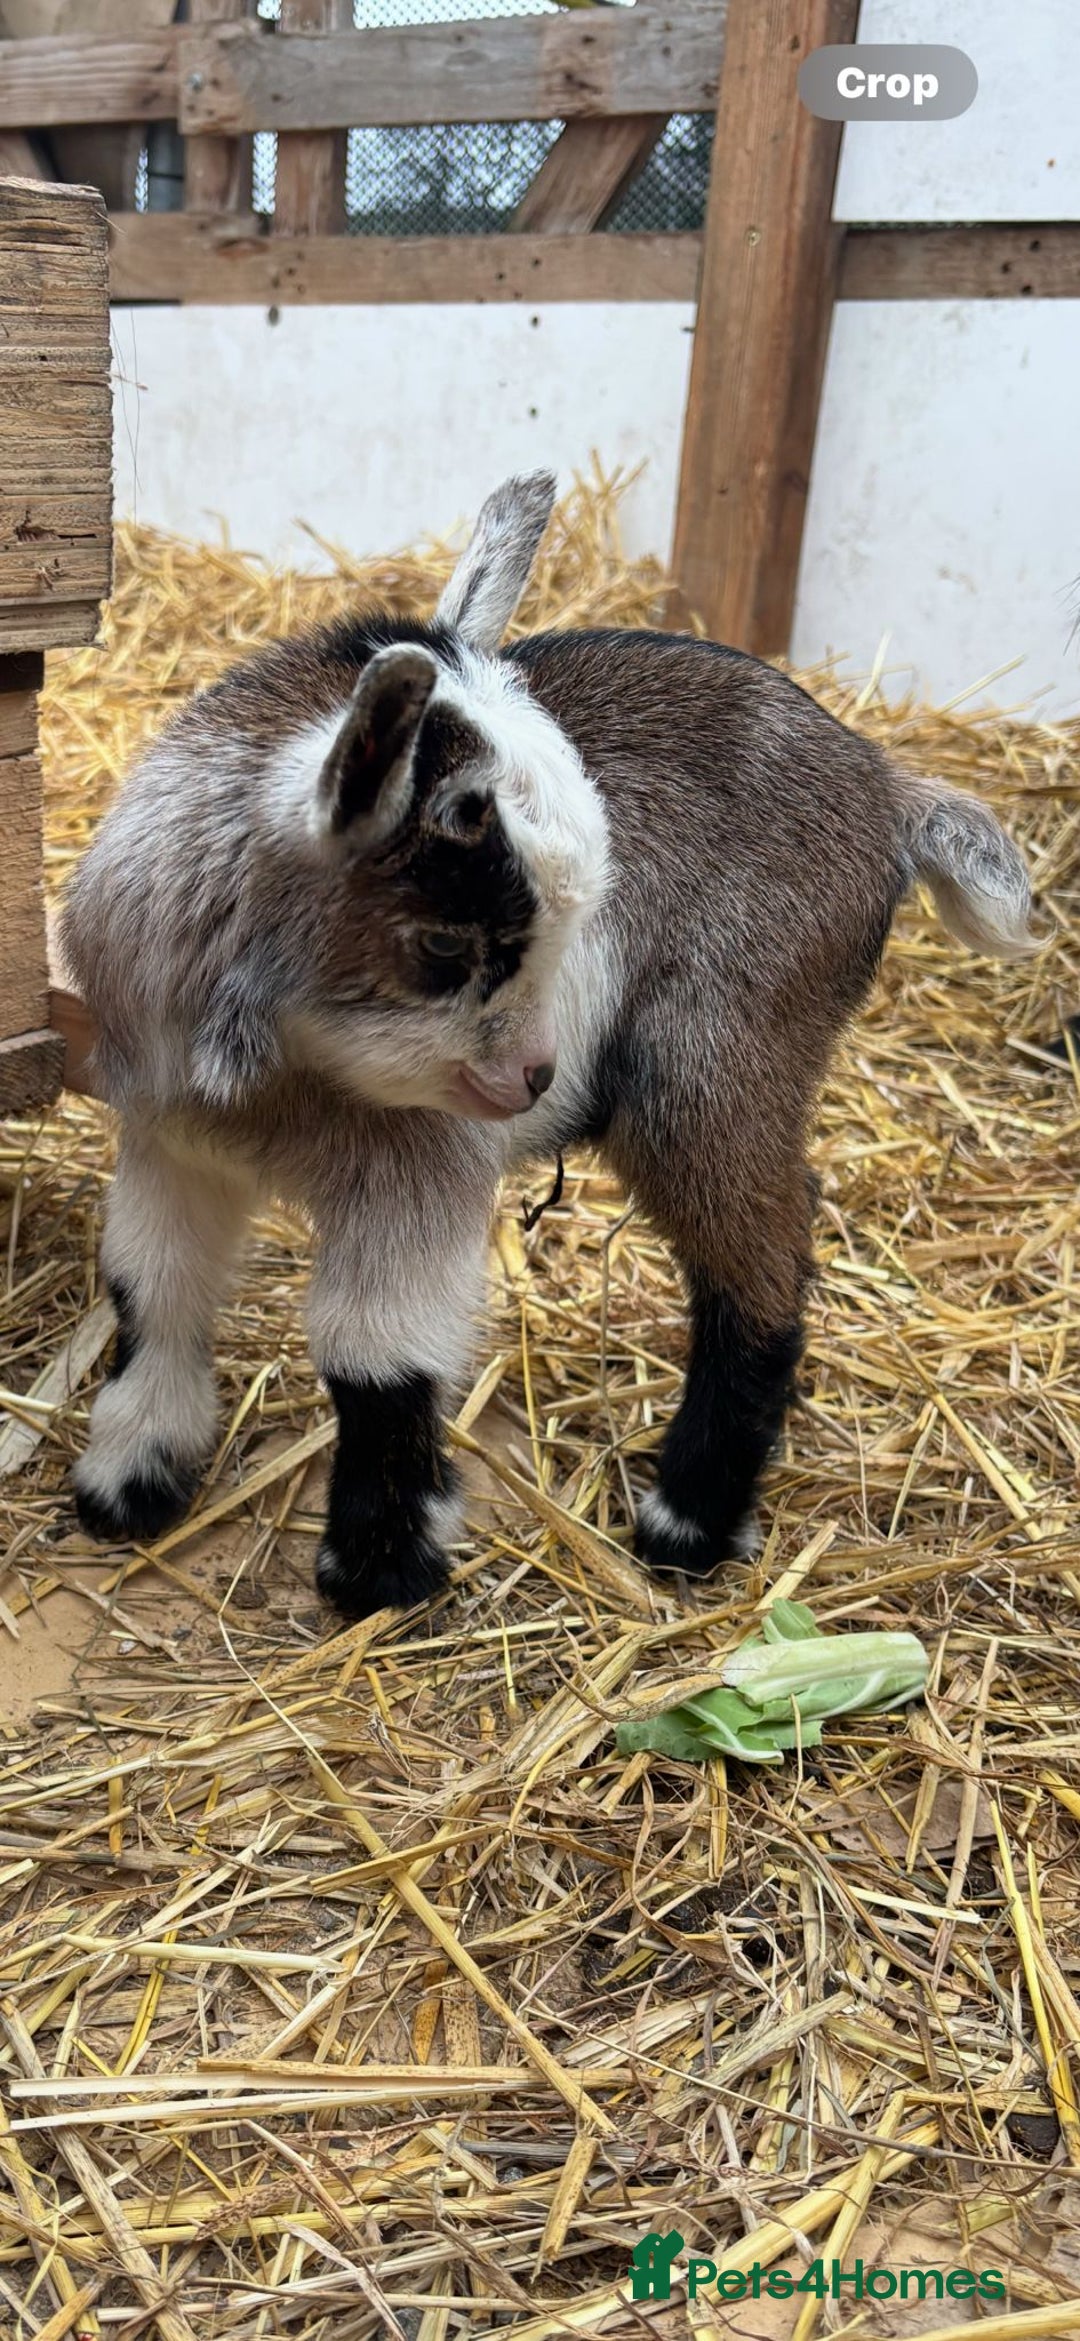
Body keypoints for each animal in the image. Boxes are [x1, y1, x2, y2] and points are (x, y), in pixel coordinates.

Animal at [62, 473, 1037, 1618]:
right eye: (449, 942)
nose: (535, 1078)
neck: (276, 1083)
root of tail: (888, 787)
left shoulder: (416, 1168)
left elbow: (374, 1353)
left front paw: (380, 1568)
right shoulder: (172, 1139)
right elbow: (150, 1283)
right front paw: (131, 1479)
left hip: (712, 1055)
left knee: (763, 1249)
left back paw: (687, 1520)